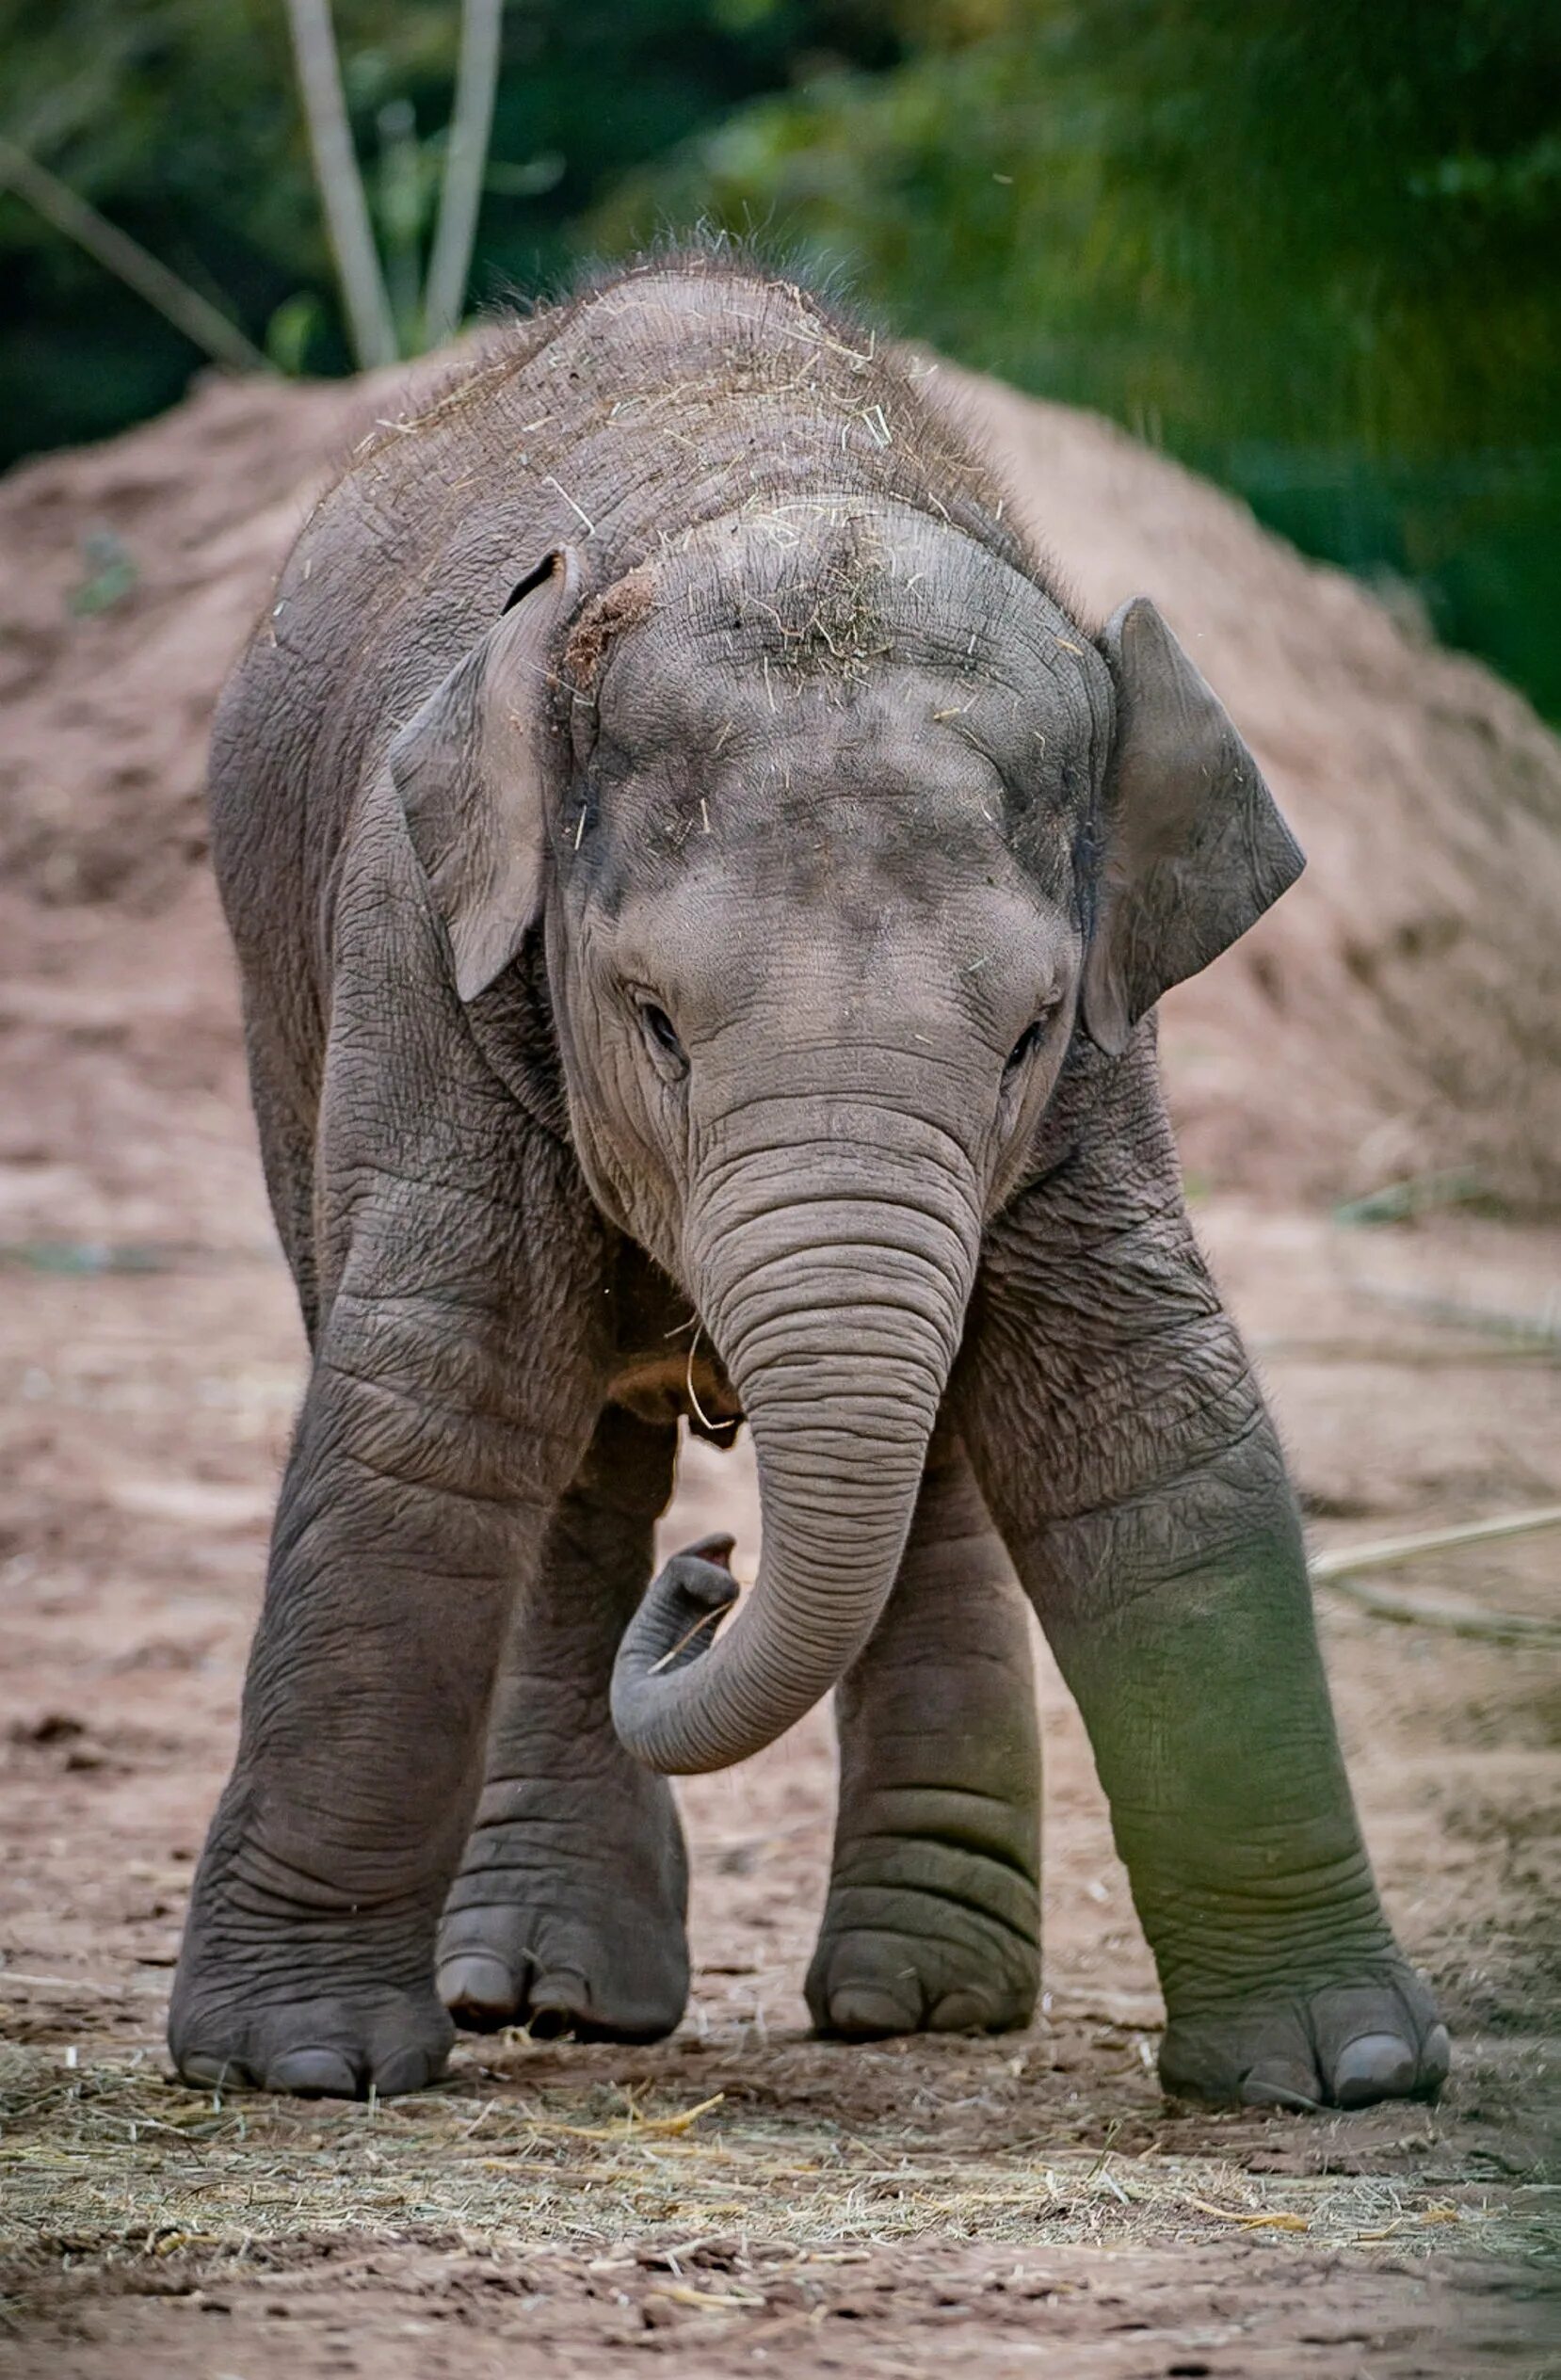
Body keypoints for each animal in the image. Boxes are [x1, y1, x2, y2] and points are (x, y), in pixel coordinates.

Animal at [173, 255, 1446, 2122]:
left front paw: (1341, 2068)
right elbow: (438, 1396)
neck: (775, 485)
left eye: (1027, 1028)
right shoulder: (421, 944)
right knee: (567, 1464)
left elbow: (1145, 1404)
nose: (712, 1578)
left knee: (922, 1453)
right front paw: (300, 2066)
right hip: (280, 1019)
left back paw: (915, 1998)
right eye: (650, 1018)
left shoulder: (1105, 1056)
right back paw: (548, 1991)